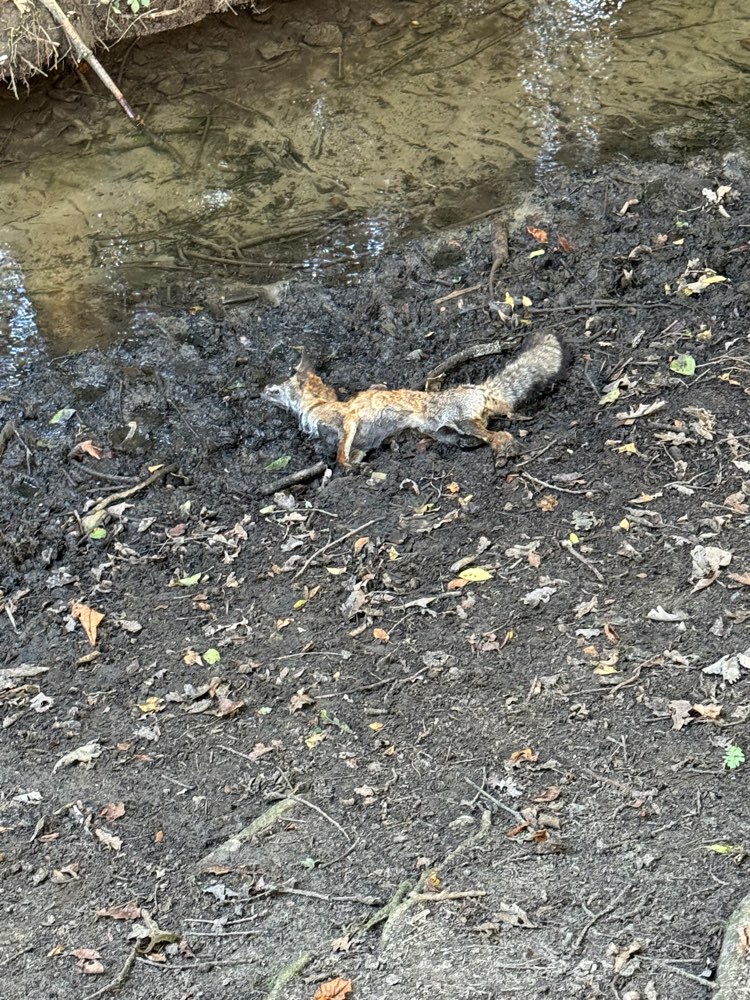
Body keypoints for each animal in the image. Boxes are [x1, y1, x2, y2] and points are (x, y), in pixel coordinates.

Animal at [263, 332, 566, 468]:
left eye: (275, 390)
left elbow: (340, 454)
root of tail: (478, 387)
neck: (318, 406)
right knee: (497, 422)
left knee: (499, 435)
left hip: (463, 422)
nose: (261, 390)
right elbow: (353, 451)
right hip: (447, 432)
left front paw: (345, 465)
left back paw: (505, 449)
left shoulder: (348, 421)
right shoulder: (360, 441)